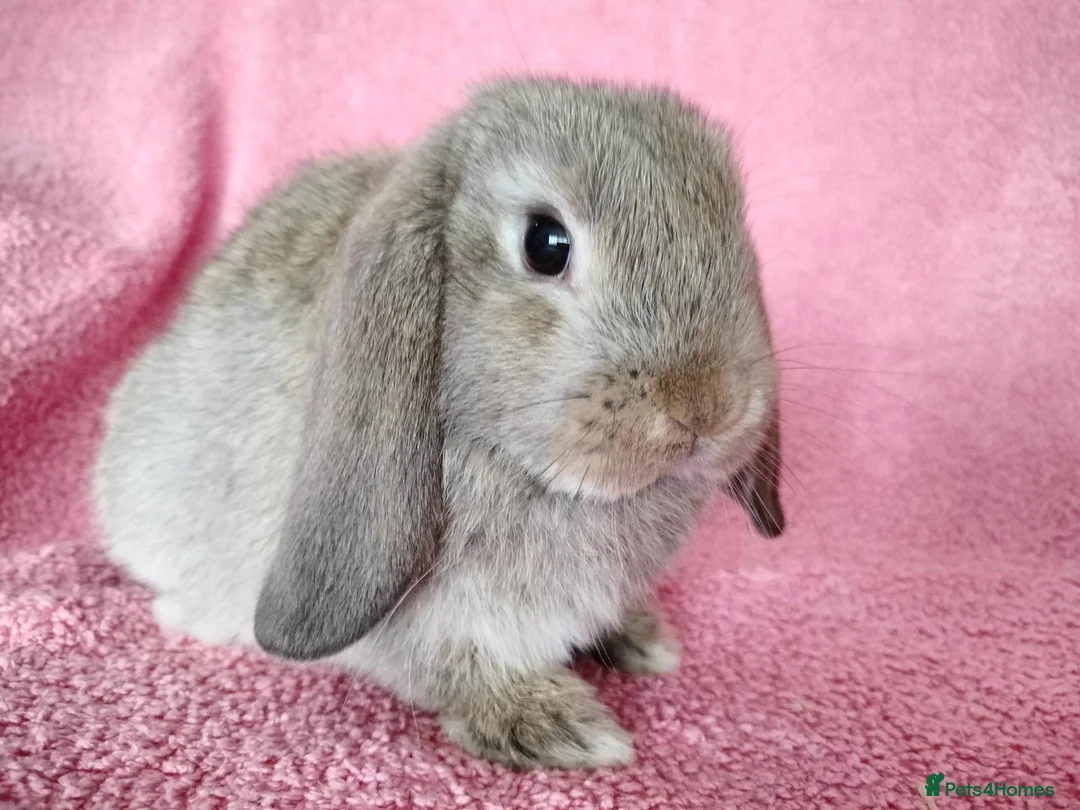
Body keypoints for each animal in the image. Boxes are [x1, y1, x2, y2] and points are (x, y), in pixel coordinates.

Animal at [93, 76, 786, 771]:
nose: (707, 408)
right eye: (545, 243)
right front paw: (558, 726)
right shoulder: (428, 623)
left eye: (735, 231)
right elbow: (456, 668)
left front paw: (642, 641)